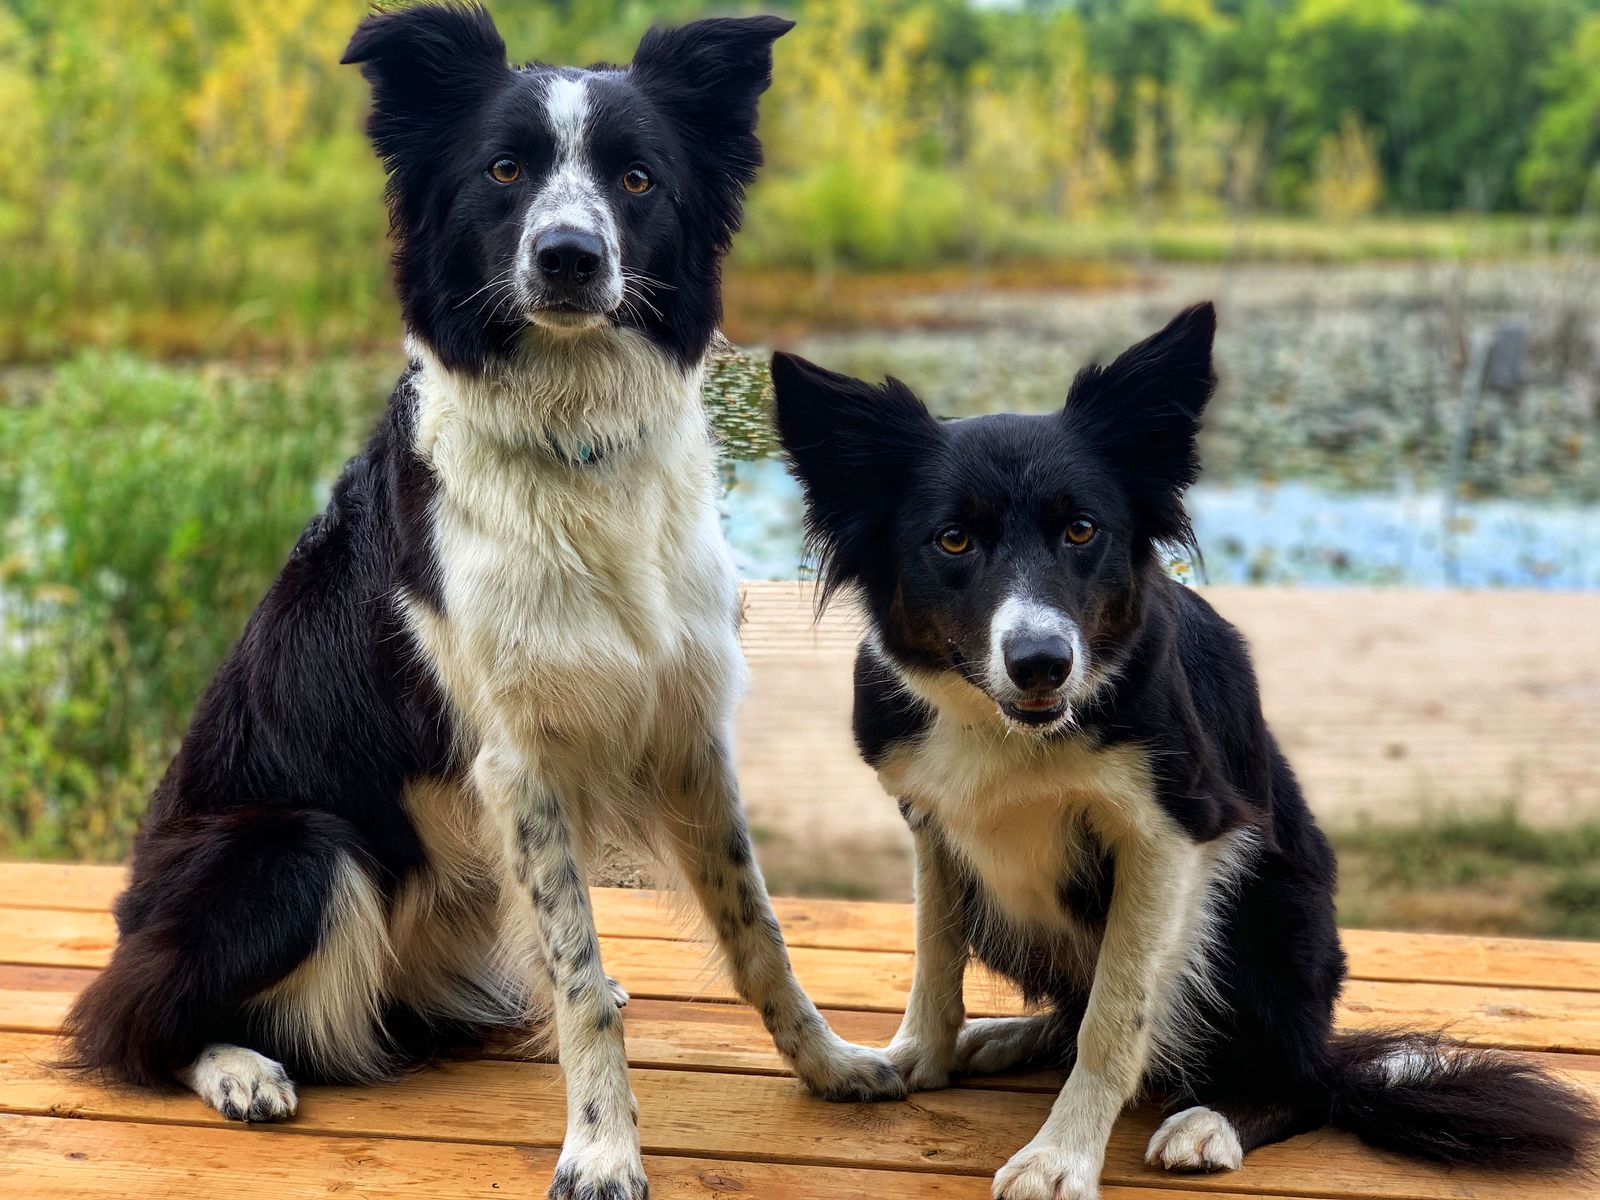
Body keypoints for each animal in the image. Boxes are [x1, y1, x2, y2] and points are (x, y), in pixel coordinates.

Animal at [63, 7, 904, 1199]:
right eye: (503, 170)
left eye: (637, 179)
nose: (569, 257)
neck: (573, 438)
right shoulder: (519, 758)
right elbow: (582, 980)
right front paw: (601, 1149)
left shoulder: (685, 727)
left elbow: (757, 931)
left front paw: (831, 1065)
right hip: (290, 847)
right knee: (125, 1018)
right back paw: (240, 1069)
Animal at [770, 302, 1599, 1200]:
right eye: (953, 541)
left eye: (1082, 530)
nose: (1041, 662)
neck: (1009, 728)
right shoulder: (933, 824)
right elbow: (934, 956)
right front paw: (920, 1056)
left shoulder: (1172, 835)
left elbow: (1115, 1016)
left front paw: (1060, 1157)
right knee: (1063, 1007)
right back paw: (1005, 1036)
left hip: (1272, 911)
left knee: (1300, 1084)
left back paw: (1214, 1119)